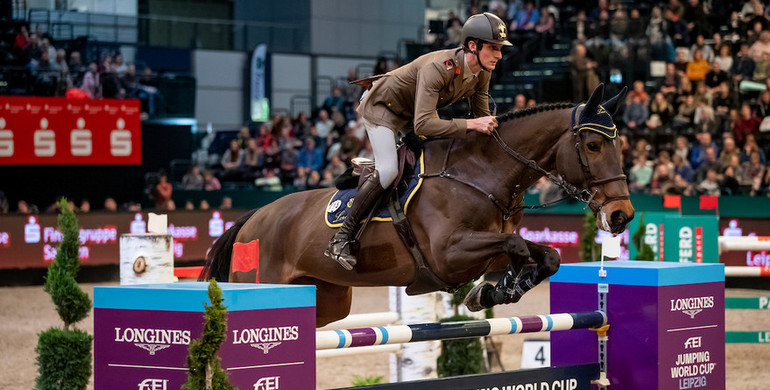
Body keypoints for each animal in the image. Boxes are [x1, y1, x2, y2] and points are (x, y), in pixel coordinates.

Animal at [201, 85, 632, 326]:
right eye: (594, 145)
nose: (621, 215)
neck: (480, 172)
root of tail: (252, 219)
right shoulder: (448, 254)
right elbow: (516, 247)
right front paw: (499, 288)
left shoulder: (485, 244)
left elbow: (548, 255)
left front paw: (497, 290)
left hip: (327, 300)